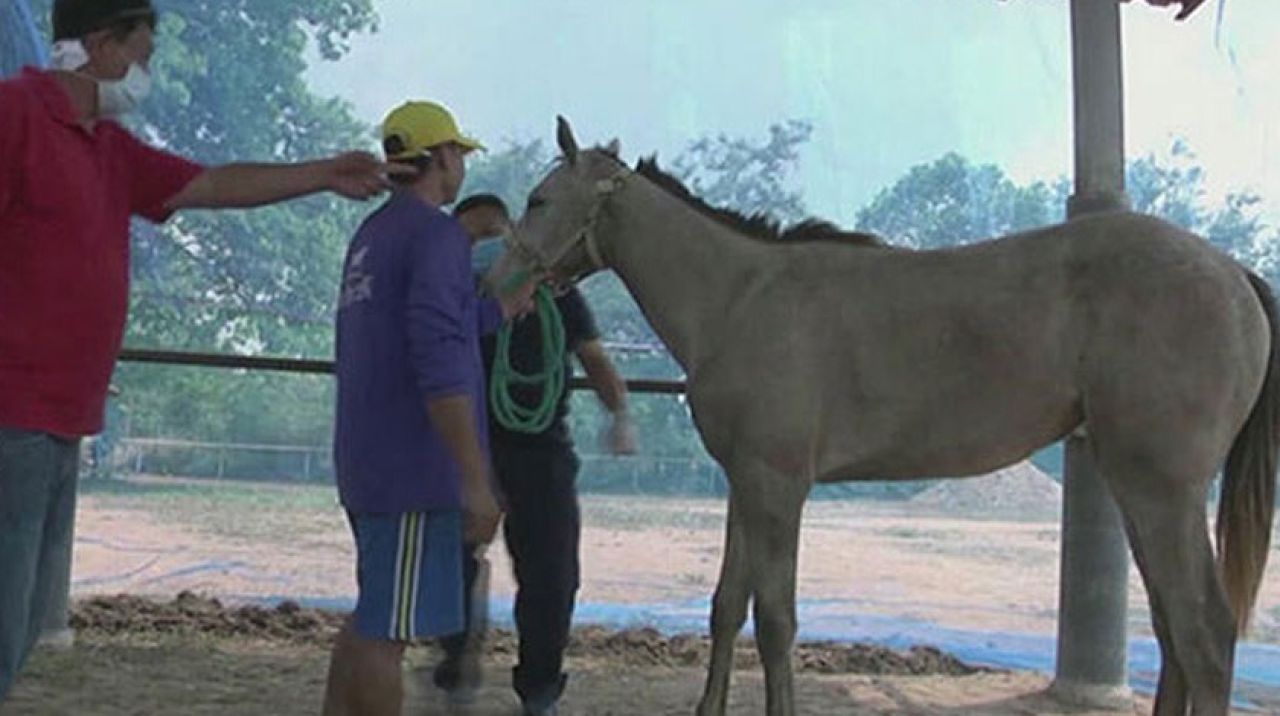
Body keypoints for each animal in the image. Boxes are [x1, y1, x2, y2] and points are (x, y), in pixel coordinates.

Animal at [483, 117, 1274, 716]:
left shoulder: (778, 486)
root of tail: (1235, 275)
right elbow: (727, 606)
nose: (496, 282)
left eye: (541, 199)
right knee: (1173, 628)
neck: (740, 298)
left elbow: (776, 620)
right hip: (1137, 487)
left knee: (1204, 631)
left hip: (1162, 489)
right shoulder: (746, 484)